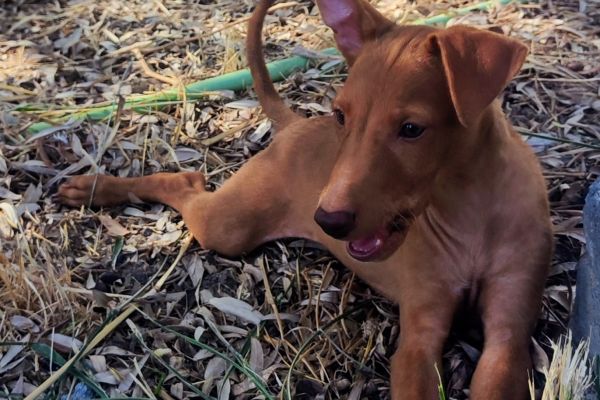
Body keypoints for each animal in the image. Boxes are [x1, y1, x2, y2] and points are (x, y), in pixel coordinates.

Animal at [58, 1, 552, 398]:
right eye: (341, 116)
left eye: (412, 129)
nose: (328, 220)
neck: (469, 212)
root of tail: (295, 126)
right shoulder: (419, 336)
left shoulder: (509, 333)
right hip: (228, 227)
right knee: (187, 185)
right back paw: (94, 188)